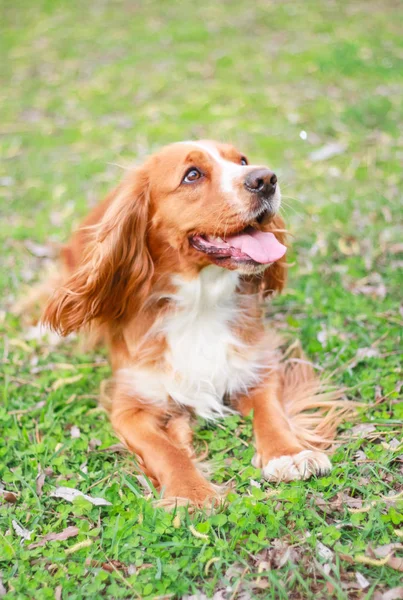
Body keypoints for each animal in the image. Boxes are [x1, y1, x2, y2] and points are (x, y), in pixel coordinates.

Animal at [32, 138, 350, 504]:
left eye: (243, 160)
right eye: (192, 175)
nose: (266, 179)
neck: (200, 304)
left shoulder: (256, 367)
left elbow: (272, 414)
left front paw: (289, 454)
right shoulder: (131, 404)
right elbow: (165, 450)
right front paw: (191, 491)